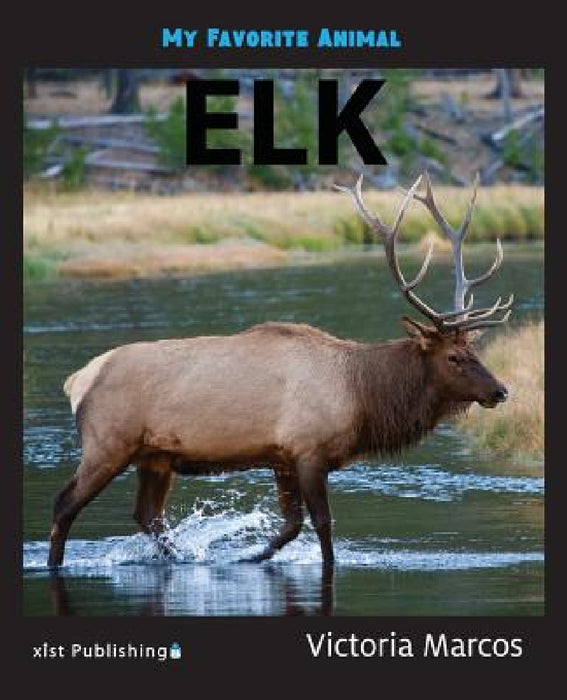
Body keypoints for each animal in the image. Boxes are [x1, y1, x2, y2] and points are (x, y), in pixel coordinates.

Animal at [47, 172, 513, 569]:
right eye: (453, 357)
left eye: (474, 348)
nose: (500, 391)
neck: (362, 396)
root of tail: (76, 380)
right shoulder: (308, 450)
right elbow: (322, 525)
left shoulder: (282, 459)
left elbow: (290, 526)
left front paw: (249, 556)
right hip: (107, 443)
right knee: (65, 504)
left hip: (156, 456)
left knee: (147, 515)